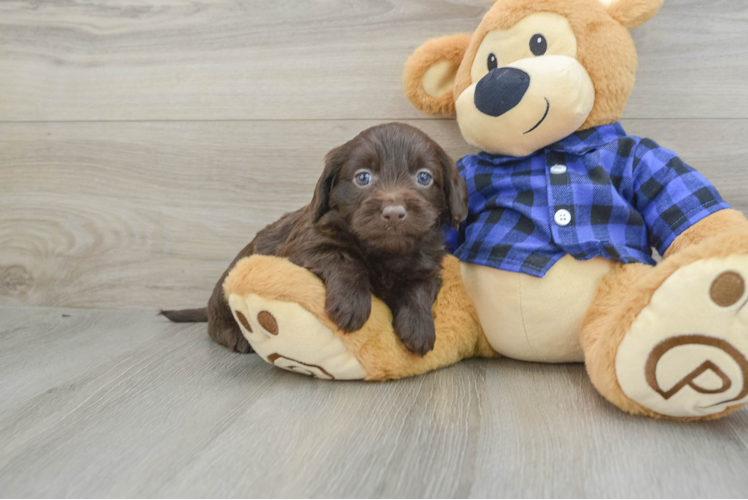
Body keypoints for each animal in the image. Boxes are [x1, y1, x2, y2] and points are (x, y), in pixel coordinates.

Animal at [164, 122, 468, 356]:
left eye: (424, 178)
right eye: (363, 178)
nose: (394, 213)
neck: (384, 251)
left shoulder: (428, 265)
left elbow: (418, 289)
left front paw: (419, 327)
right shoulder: (302, 246)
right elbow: (343, 258)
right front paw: (352, 304)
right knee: (215, 325)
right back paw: (236, 335)